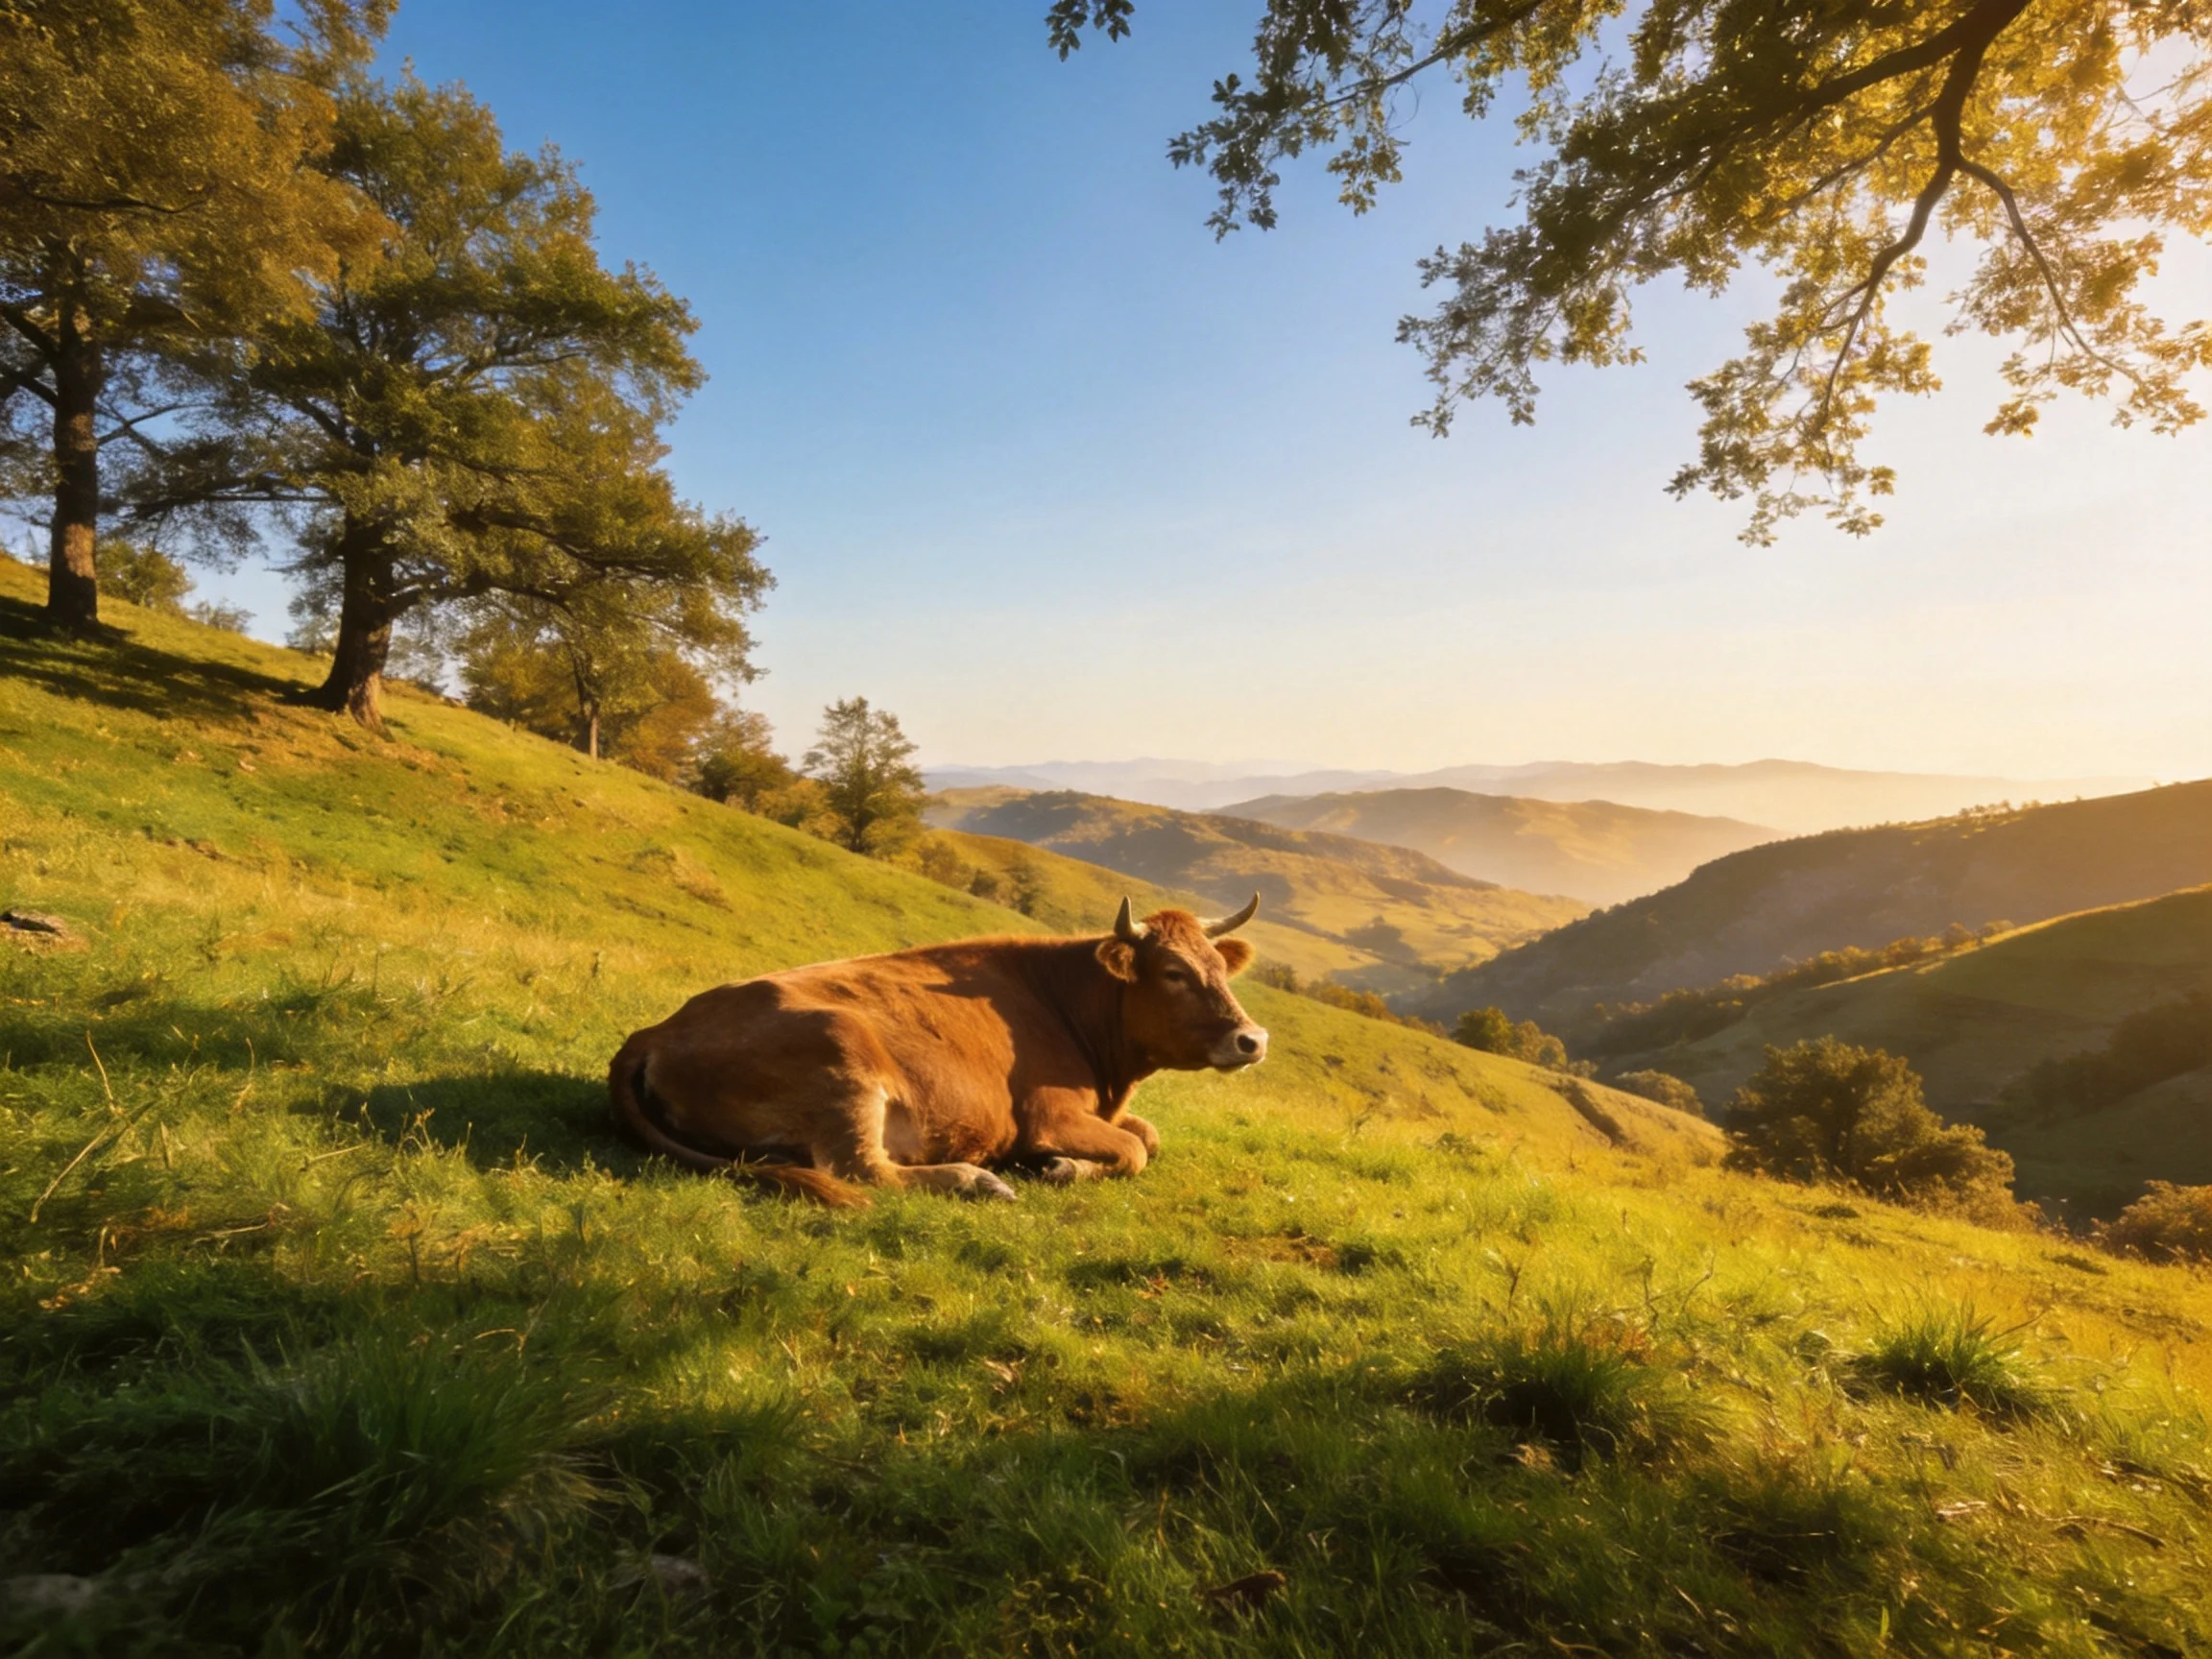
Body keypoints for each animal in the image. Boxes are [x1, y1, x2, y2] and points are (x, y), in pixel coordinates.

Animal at [608, 896, 1269, 1207]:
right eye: (1174, 973)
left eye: (1219, 968)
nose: (1253, 1039)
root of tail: (658, 1029)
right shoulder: (1049, 1114)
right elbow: (1134, 1150)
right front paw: (1062, 1167)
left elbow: (1149, 1135)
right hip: (844, 1059)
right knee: (862, 1169)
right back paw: (977, 1181)